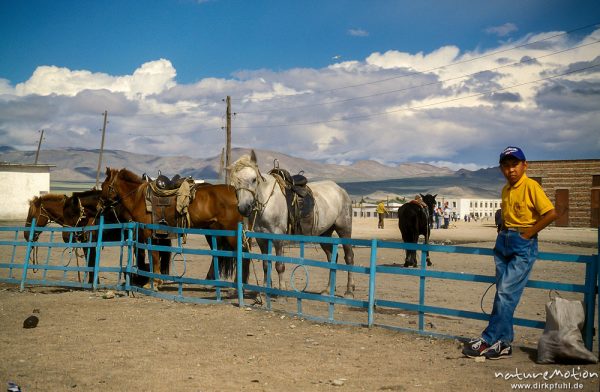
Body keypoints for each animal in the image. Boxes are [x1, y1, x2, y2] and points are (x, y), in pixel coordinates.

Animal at [101, 167, 246, 290]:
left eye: (103, 186)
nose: (100, 206)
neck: (139, 198)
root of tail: (236, 193)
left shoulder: (149, 234)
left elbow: (154, 256)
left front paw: (153, 283)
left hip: (232, 234)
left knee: (243, 254)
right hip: (213, 232)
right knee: (219, 254)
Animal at [229, 151, 352, 298]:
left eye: (254, 179)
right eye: (235, 182)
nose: (244, 208)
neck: (267, 202)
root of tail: (341, 190)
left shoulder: (278, 239)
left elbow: (279, 265)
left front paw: (282, 290)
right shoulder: (262, 240)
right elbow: (266, 265)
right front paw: (263, 292)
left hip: (344, 229)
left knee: (349, 257)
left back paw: (349, 291)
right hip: (324, 234)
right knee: (331, 258)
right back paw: (328, 290)